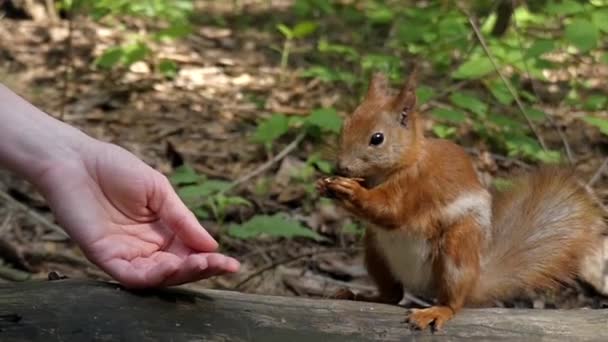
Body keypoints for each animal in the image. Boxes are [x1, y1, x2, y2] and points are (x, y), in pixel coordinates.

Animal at [318, 71, 608, 330]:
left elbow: (392, 211)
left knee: (453, 301)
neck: (397, 167)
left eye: (377, 138)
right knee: (392, 295)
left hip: (457, 249)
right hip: (375, 253)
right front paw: (325, 185)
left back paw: (436, 311)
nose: (341, 167)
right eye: (345, 125)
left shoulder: (418, 187)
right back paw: (358, 295)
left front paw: (350, 190)